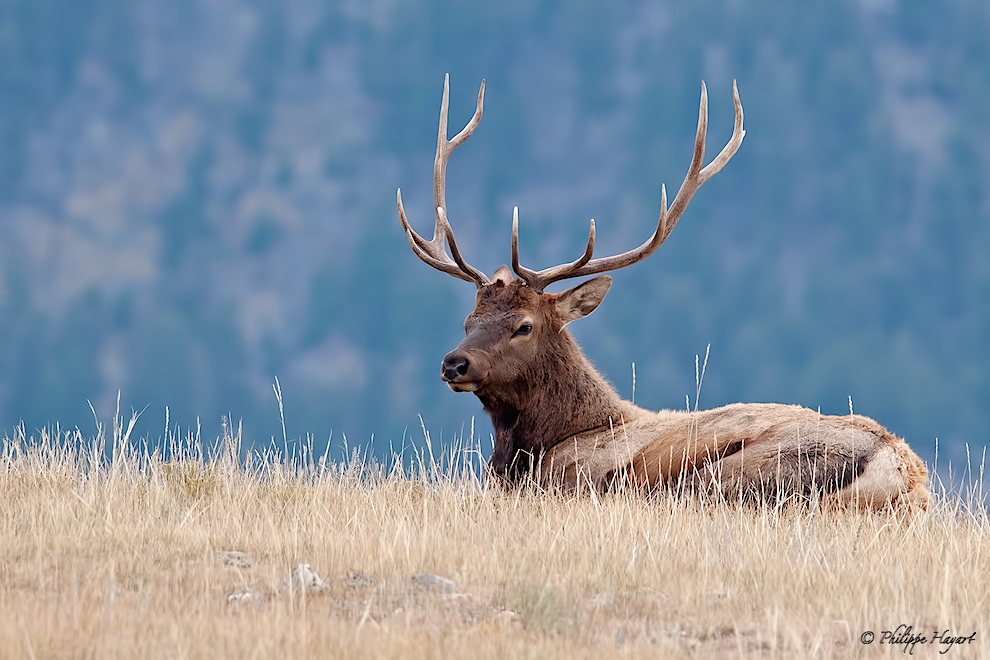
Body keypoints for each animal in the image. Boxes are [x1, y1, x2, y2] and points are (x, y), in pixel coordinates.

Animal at [396, 76, 928, 510]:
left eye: (523, 326)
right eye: (468, 321)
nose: (454, 363)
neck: (552, 440)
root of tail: (903, 473)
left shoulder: (576, 481)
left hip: (731, 476)